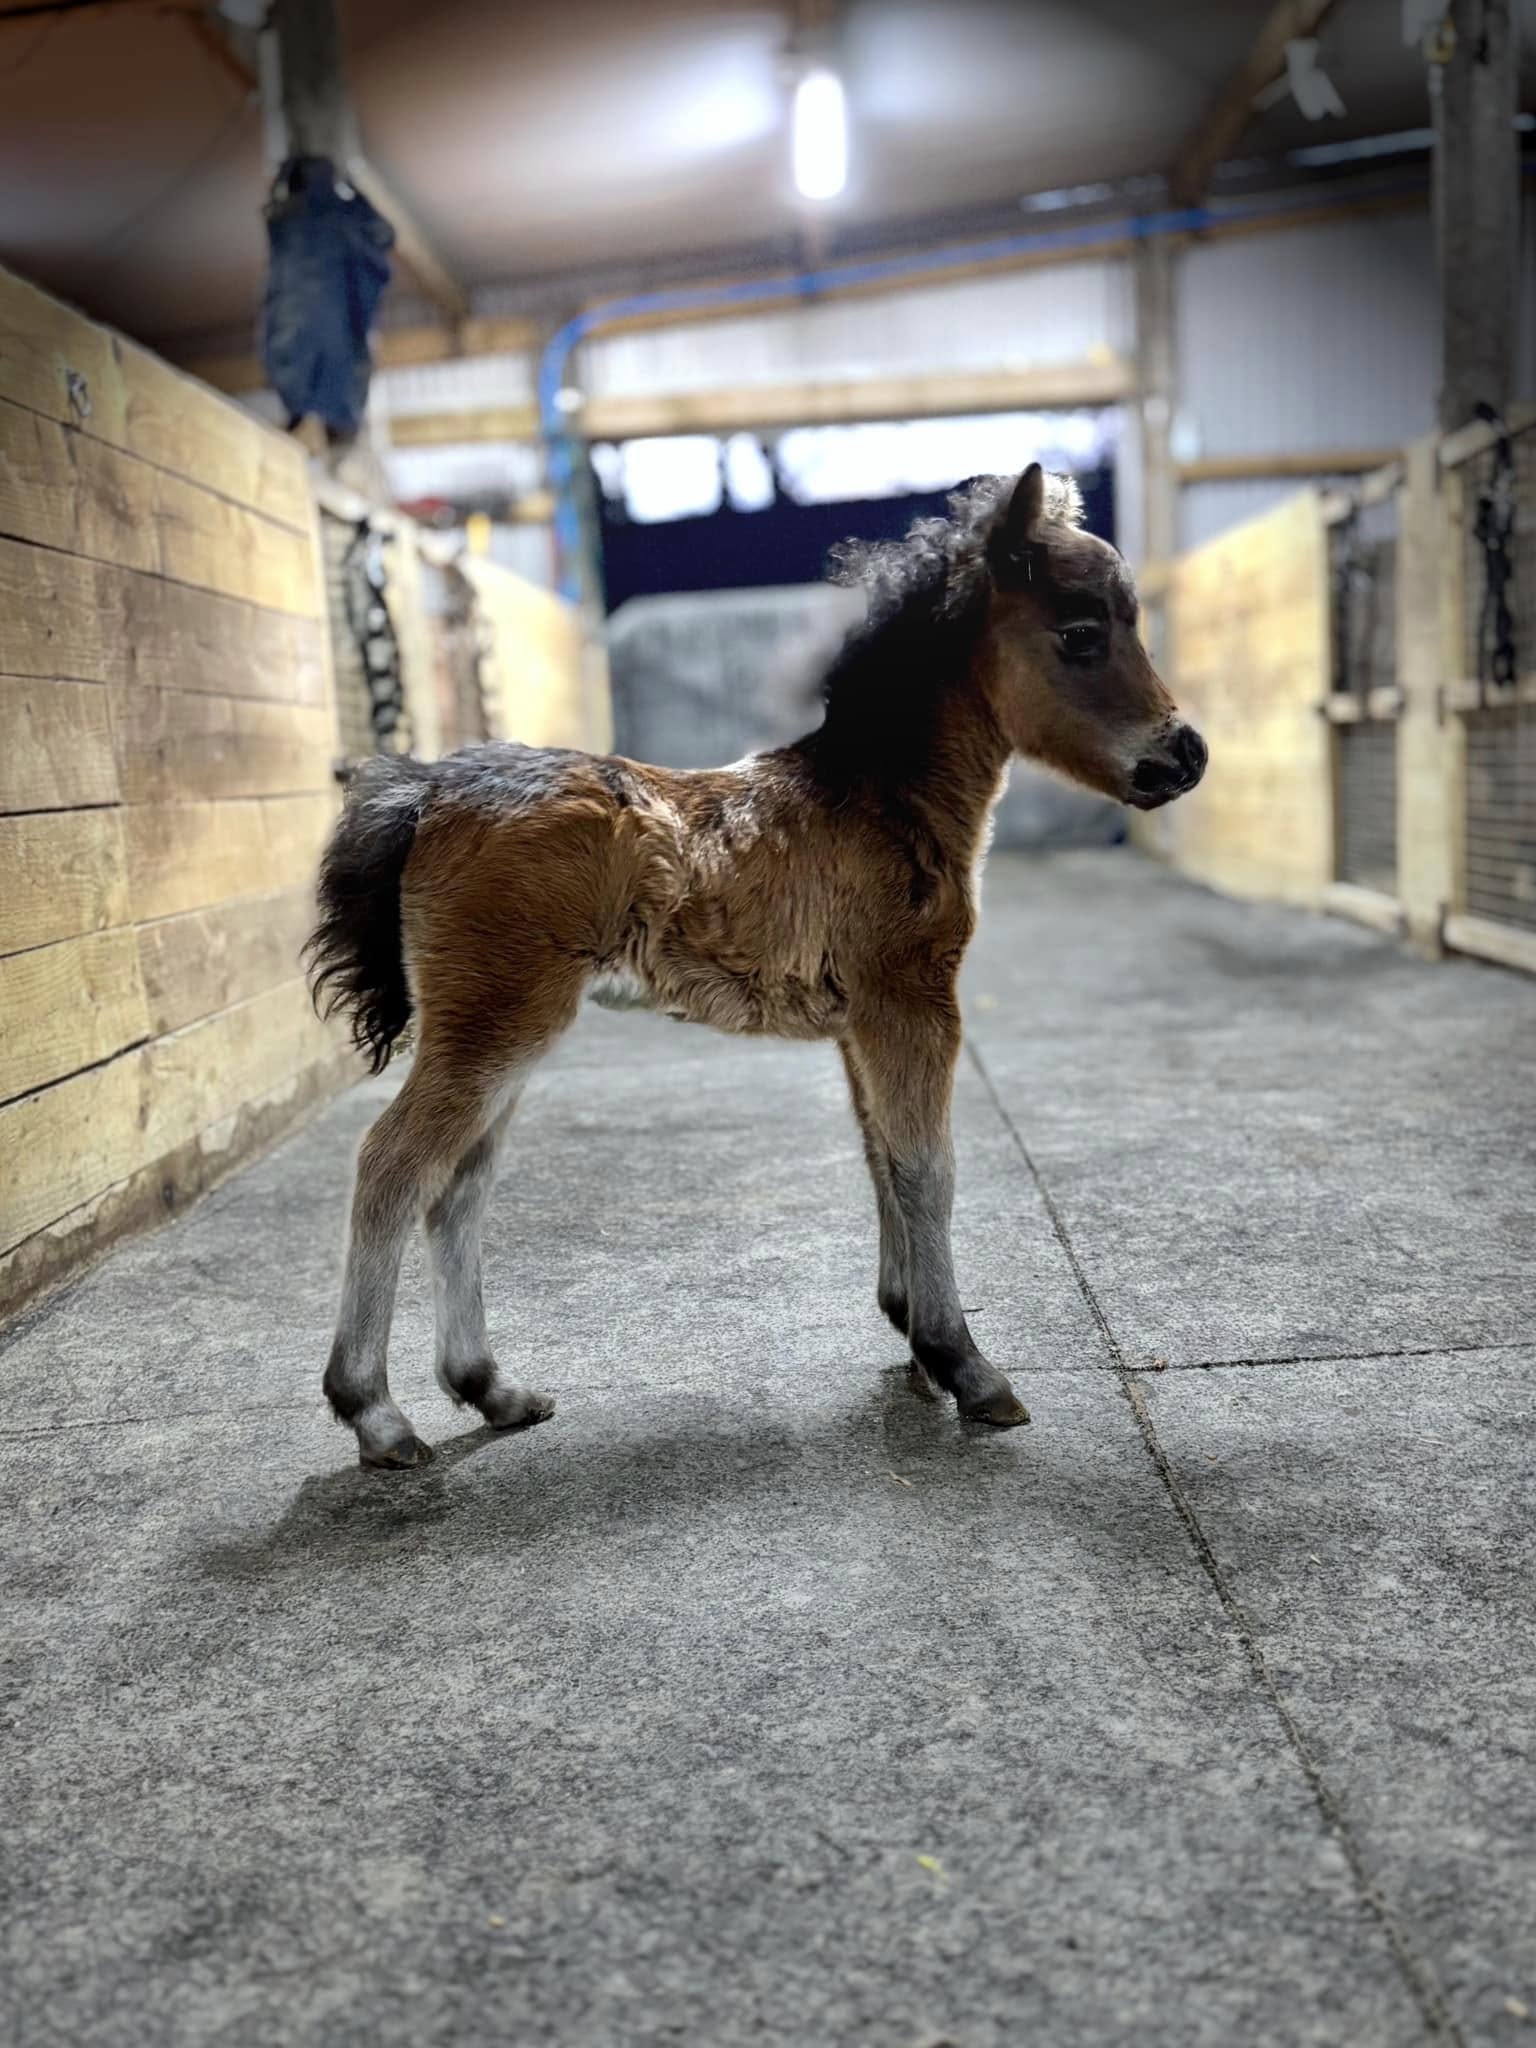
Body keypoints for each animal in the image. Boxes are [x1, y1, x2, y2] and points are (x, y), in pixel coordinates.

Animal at [306, 464, 1207, 1469]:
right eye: (1082, 635)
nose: (1186, 755)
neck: (879, 800)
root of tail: (426, 790)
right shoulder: (911, 1000)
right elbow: (929, 1166)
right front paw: (964, 1364)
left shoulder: (861, 1022)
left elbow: (882, 1157)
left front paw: (912, 1334)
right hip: (497, 1020)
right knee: (393, 1167)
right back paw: (376, 1414)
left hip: (501, 1028)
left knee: (457, 1188)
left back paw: (491, 1390)